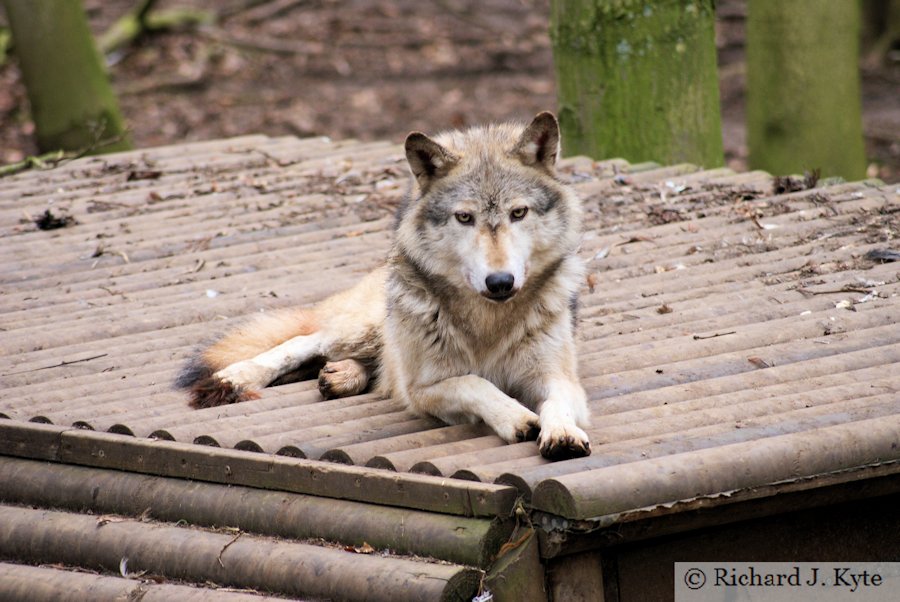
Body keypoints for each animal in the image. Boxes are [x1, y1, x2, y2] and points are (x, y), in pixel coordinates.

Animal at [179, 111, 596, 460]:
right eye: (464, 217)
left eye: (518, 213)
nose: (500, 281)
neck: (488, 321)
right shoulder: (423, 389)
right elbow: (476, 383)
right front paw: (517, 418)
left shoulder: (560, 379)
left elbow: (557, 402)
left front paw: (561, 433)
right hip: (361, 329)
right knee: (304, 341)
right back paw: (236, 377)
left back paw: (342, 376)